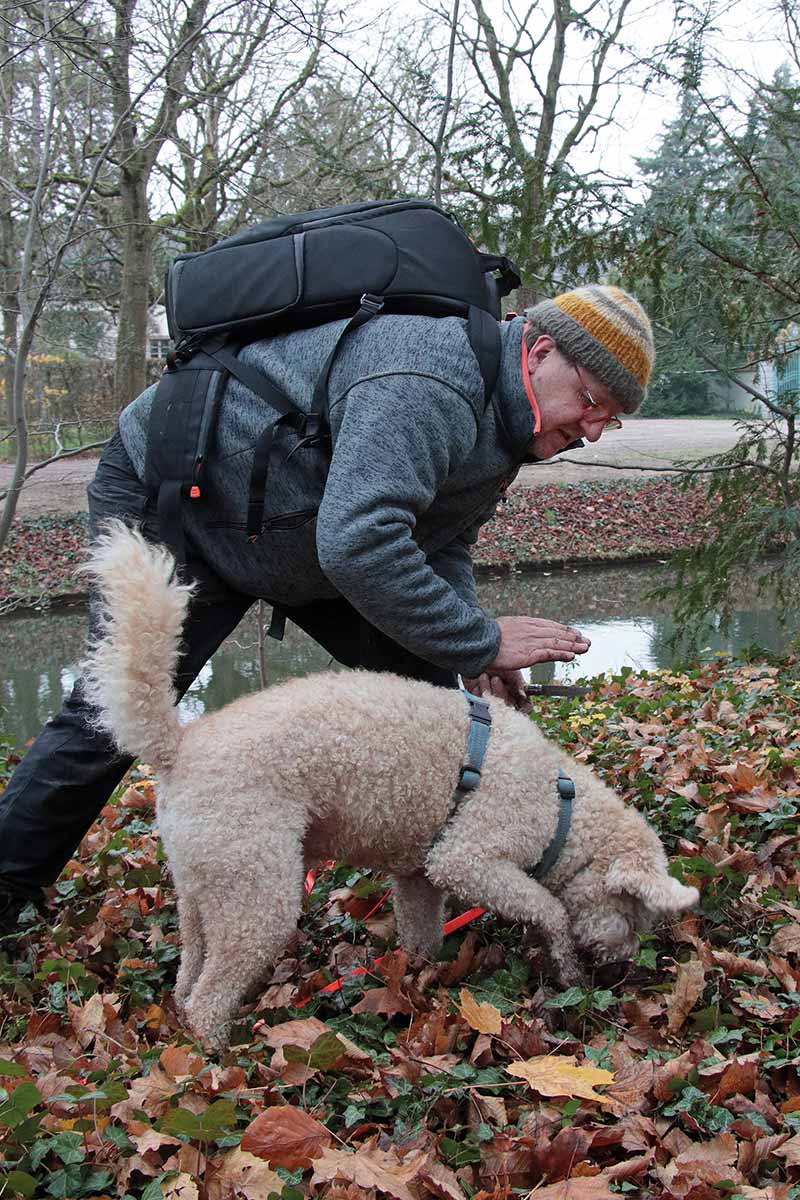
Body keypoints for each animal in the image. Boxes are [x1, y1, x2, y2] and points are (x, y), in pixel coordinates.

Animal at [77, 520, 695, 1046]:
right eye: (632, 914)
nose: (623, 971)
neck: (560, 804)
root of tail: (178, 746)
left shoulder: (420, 876)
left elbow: (422, 938)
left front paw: (421, 983)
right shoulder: (468, 859)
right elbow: (548, 908)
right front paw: (564, 960)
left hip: (205, 883)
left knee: (189, 971)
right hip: (257, 889)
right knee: (208, 999)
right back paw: (217, 1064)